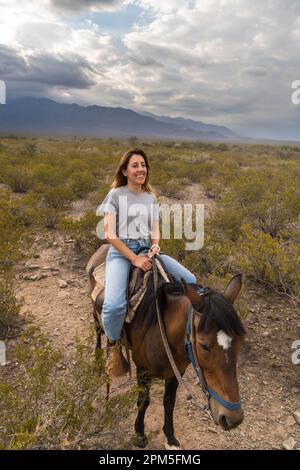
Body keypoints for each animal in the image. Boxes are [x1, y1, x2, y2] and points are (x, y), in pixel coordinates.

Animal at [85, 250, 245, 452]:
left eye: (240, 342)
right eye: (204, 345)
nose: (232, 419)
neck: (160, 329)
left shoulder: (176, 372)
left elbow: (169, 403)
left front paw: (170, 438)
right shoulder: (143, 370)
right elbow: (143, 401)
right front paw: (139, 435)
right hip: (96, 311)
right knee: (99, 330)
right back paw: (101, 363)